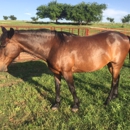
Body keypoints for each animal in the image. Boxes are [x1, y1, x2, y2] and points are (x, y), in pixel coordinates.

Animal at [0, 26, 129, 111]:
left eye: (4, 45)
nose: (1, 67)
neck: (54, 46)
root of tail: (125, 37)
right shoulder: (56, 73)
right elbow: (57, 87)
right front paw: (56, 105)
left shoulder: (67, 72)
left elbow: (72, 88)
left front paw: (75, 105)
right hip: (111, 65)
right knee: (117, 78)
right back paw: (114, 97)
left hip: (116, 64)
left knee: (114, 81)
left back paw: (107, 101)